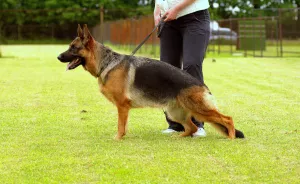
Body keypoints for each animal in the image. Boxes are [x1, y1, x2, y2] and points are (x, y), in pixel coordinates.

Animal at [56, 24, 244, 139]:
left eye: (73, 48)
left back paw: (231, 137)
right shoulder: (124, 108)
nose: (58, 57)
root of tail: (202, 85)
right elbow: (123, 125)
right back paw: (179, 137)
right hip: (175, 112)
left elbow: (120, 125)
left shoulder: (122, 106)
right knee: (192, 128)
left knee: (227, 119)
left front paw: (117, 138)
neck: (106, 63)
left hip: (199, 110)